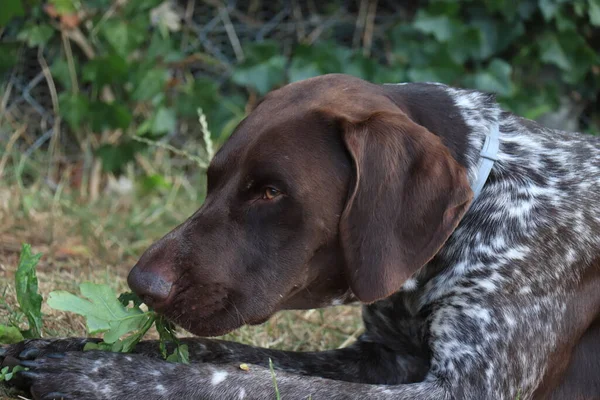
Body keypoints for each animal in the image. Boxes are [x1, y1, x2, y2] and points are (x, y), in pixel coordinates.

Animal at [1, 74, 600, 396]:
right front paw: (71, 345)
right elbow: (223, 352)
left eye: (271, 192)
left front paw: (100, 375)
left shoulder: (459, 389)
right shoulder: (381, 356)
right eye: (212, 179)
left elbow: (244, 383)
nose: (141, 283)